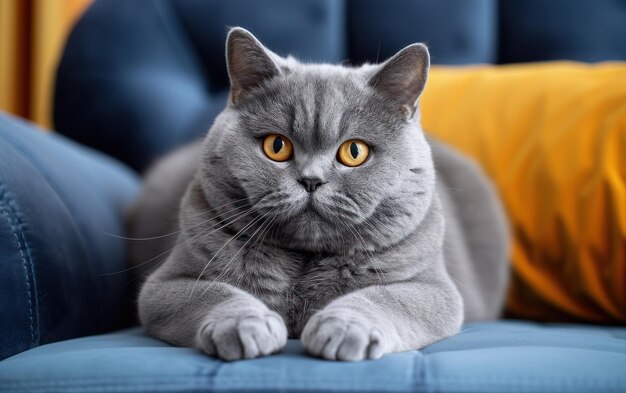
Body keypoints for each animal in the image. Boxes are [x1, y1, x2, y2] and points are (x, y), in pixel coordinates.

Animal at [128, 27, 508, 362]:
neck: (305, 261)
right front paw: (245, 326)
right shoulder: (165, 285)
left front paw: (341, 330)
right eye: (276, 146)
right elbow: (214, 293)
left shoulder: (434, 289)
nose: (311, 180)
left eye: (354, 152)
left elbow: (382, 297)